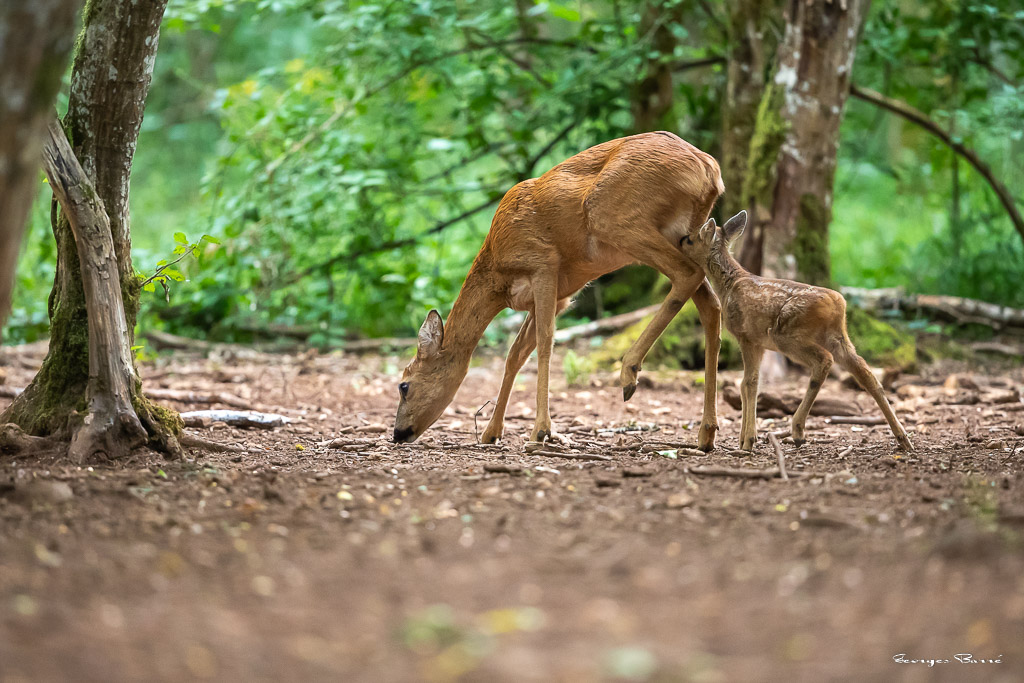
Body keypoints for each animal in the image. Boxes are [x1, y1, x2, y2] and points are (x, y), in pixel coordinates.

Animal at [393, 131, 725, 447]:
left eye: (404, 385)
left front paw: (540, 431)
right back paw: (706, 433)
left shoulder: (543, 265)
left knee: (688, 274)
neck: (498, 271)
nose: (397, 434)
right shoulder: (560, 296)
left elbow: (545, 343)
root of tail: (709, 168)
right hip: (685, 233)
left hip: (615, 219)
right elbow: (515, 354)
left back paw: (628, 373)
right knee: (710, 304)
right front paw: (491, 433)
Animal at [680, 210, 914, 452]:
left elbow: (748, 383)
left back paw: (798, 430)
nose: (679, 241)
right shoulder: (760, 343)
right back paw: (903, 438)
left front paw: (747, 441)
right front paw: (744, 439)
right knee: (868, 376)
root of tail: (837, 303)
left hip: (786, 334)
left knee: (824, 360)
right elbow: (748, 384)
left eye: (691, 239)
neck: (728, 286)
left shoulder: (747, 336)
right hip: (838, 337)